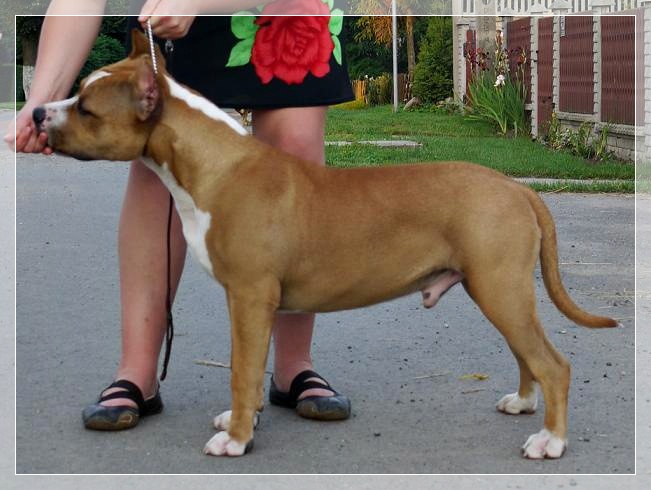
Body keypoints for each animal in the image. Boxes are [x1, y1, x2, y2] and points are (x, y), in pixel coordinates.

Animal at [33, 30, 617, 459]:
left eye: (86, 108)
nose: (38, 113)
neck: (214, 165)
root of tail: (517, 187)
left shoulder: (249, 296)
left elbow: (243, 370)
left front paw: (236, 439)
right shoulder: (254, 303)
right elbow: (252, 368)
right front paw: (245, 421)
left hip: (500, 289)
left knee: (553, 363)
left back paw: (550, 441)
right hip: (498, 290)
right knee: (528, 354)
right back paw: (522, 404)